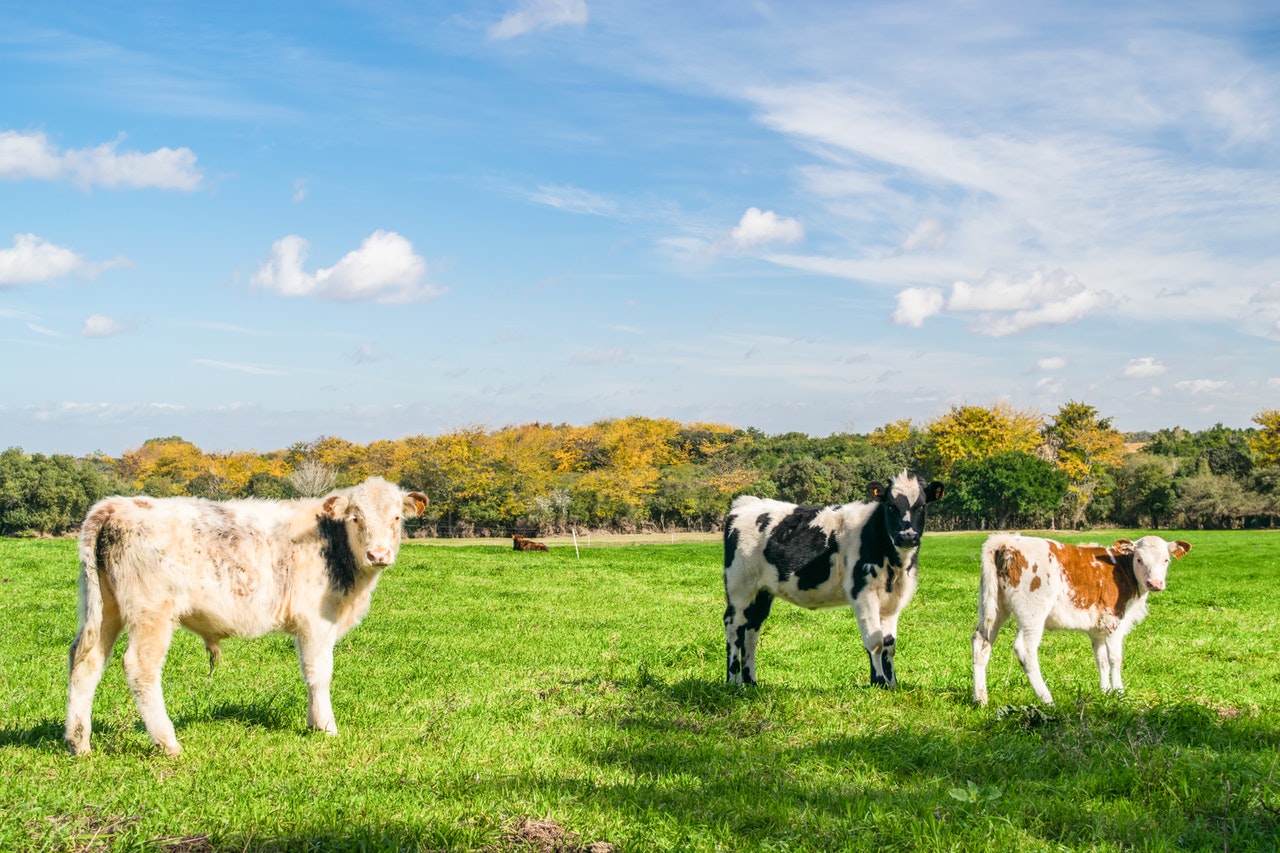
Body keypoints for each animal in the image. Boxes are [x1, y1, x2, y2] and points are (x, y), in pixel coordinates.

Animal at [65, 477, 428, 756]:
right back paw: (167, 742)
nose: (378, 554)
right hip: (151, 614)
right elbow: (319, 673)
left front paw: (314, 723)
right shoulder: (316, 622)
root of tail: (117, 505)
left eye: (397, 518)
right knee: (140, 669)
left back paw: (79, 742)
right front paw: (326, 726)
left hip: (105, 610)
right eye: (355, 518)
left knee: (86, 661)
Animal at [723, 470, 945, 688]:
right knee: (734, 627)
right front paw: (879, 682)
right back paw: (733, 681)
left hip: (762, 592)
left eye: (921, 506)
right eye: (890, 506)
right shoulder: (862, 592)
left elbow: (889, 644)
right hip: (739, 587)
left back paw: (751, 681)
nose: (907, 536)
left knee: (752, 630)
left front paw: (891, 684)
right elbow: (875, 641)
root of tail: (745, 503)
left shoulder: (893, 600)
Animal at [971, 533, 1192, 706]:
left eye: (1166, 560)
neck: (1123, 569)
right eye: (1139, 559)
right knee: (1025, 649)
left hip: (993, 607)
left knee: (981, 642)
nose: (1155, 583)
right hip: (1032, 614)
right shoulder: (1114, 622)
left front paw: (1105, 693)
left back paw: (981, 699)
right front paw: (1119, 694)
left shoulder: (1097, 629)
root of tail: (1006, 540)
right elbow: (1115, 659)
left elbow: (1101, 660)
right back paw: (1047, 699)